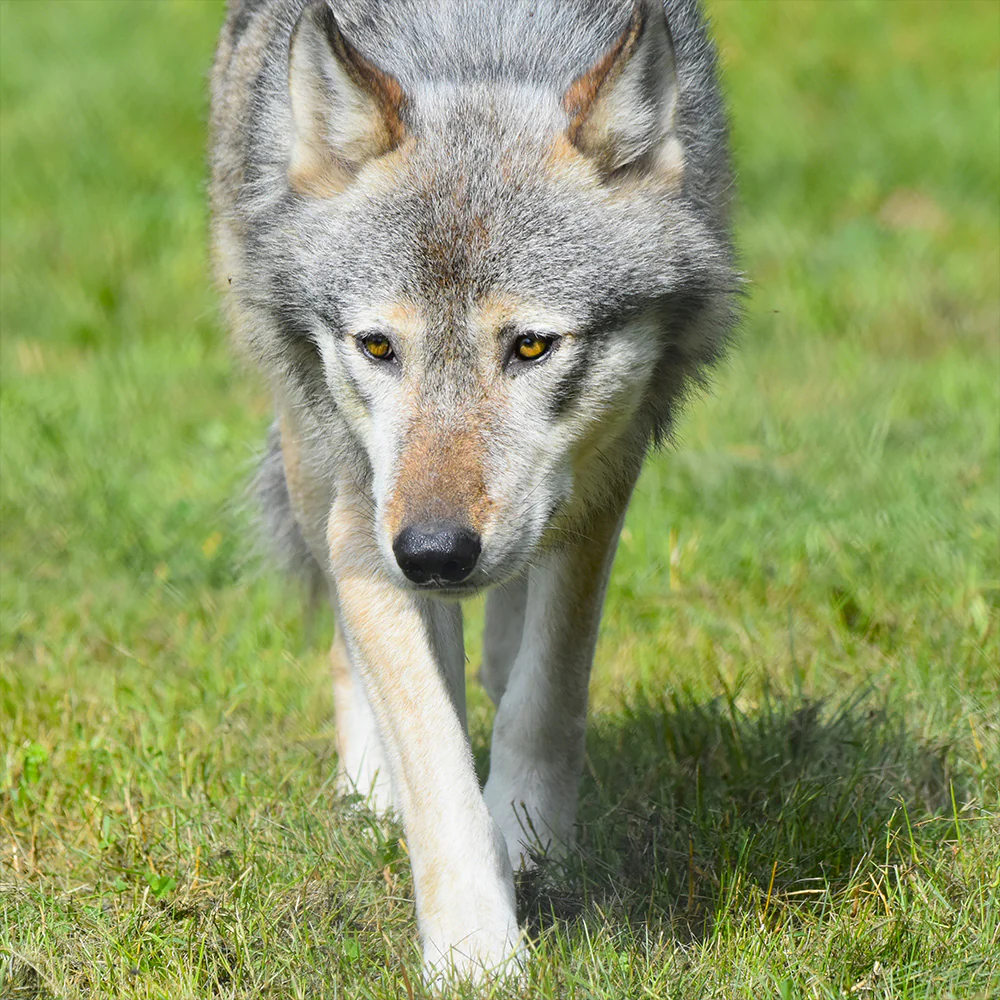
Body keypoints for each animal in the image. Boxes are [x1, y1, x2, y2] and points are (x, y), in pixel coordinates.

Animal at [210, 0, 737, 982]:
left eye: (530, 346)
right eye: (379, 346)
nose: (435, 554)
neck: (481, 41)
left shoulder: (603, 484)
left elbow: (549, 695)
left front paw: (529, 839)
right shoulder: (365, 518)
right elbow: (436, 759)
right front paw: (476, 956)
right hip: (309, 455)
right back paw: (369, 789)